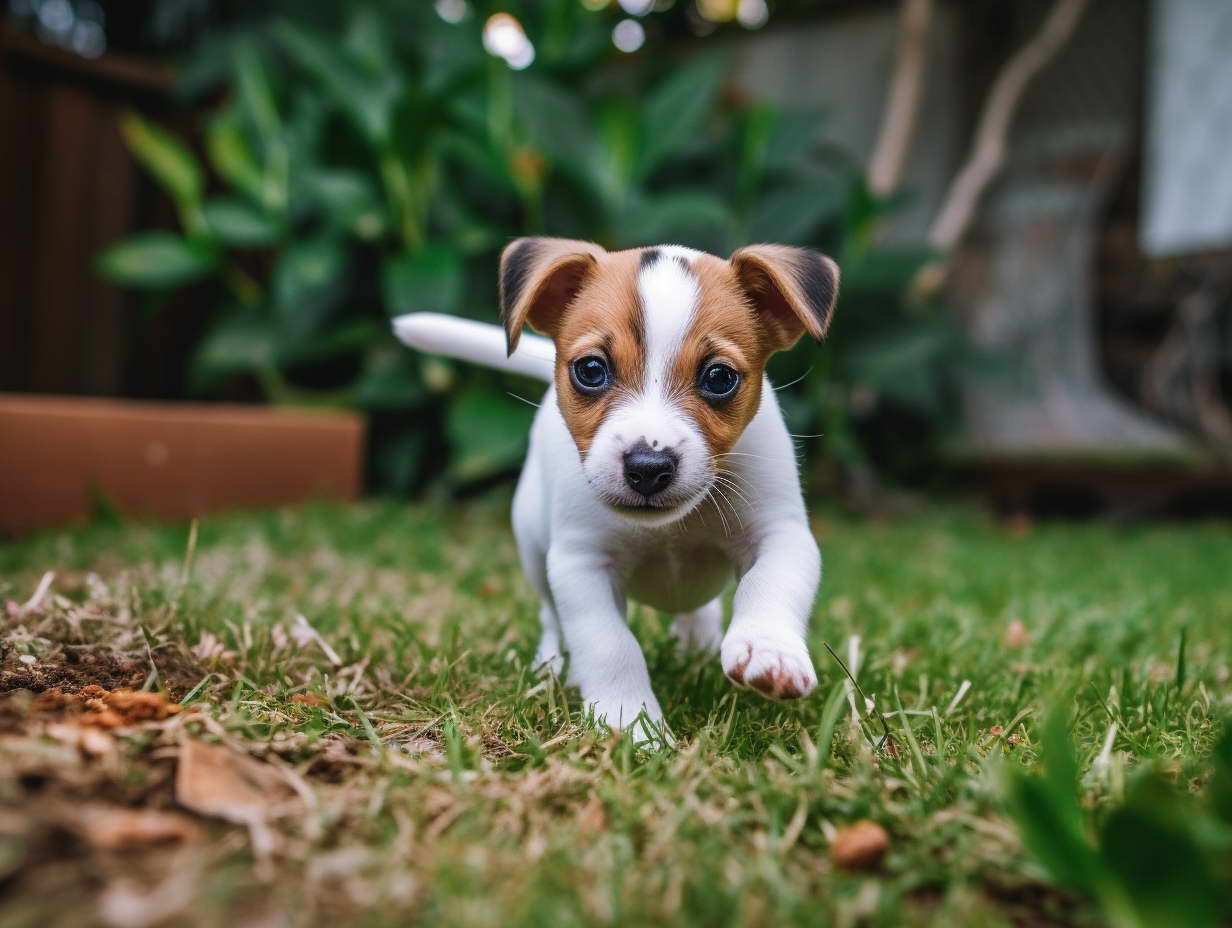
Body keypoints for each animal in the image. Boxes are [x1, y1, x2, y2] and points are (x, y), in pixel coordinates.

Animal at [394, 236, 837, 739]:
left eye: (720, 377)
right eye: (590, 369)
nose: (648, 467)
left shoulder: (781, 535)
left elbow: (769, 583)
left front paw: (768, 649)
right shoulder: (581, 564)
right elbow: (610, 644)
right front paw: (632, 724)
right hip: (533, 547)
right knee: (551, 617)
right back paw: (552, 666)